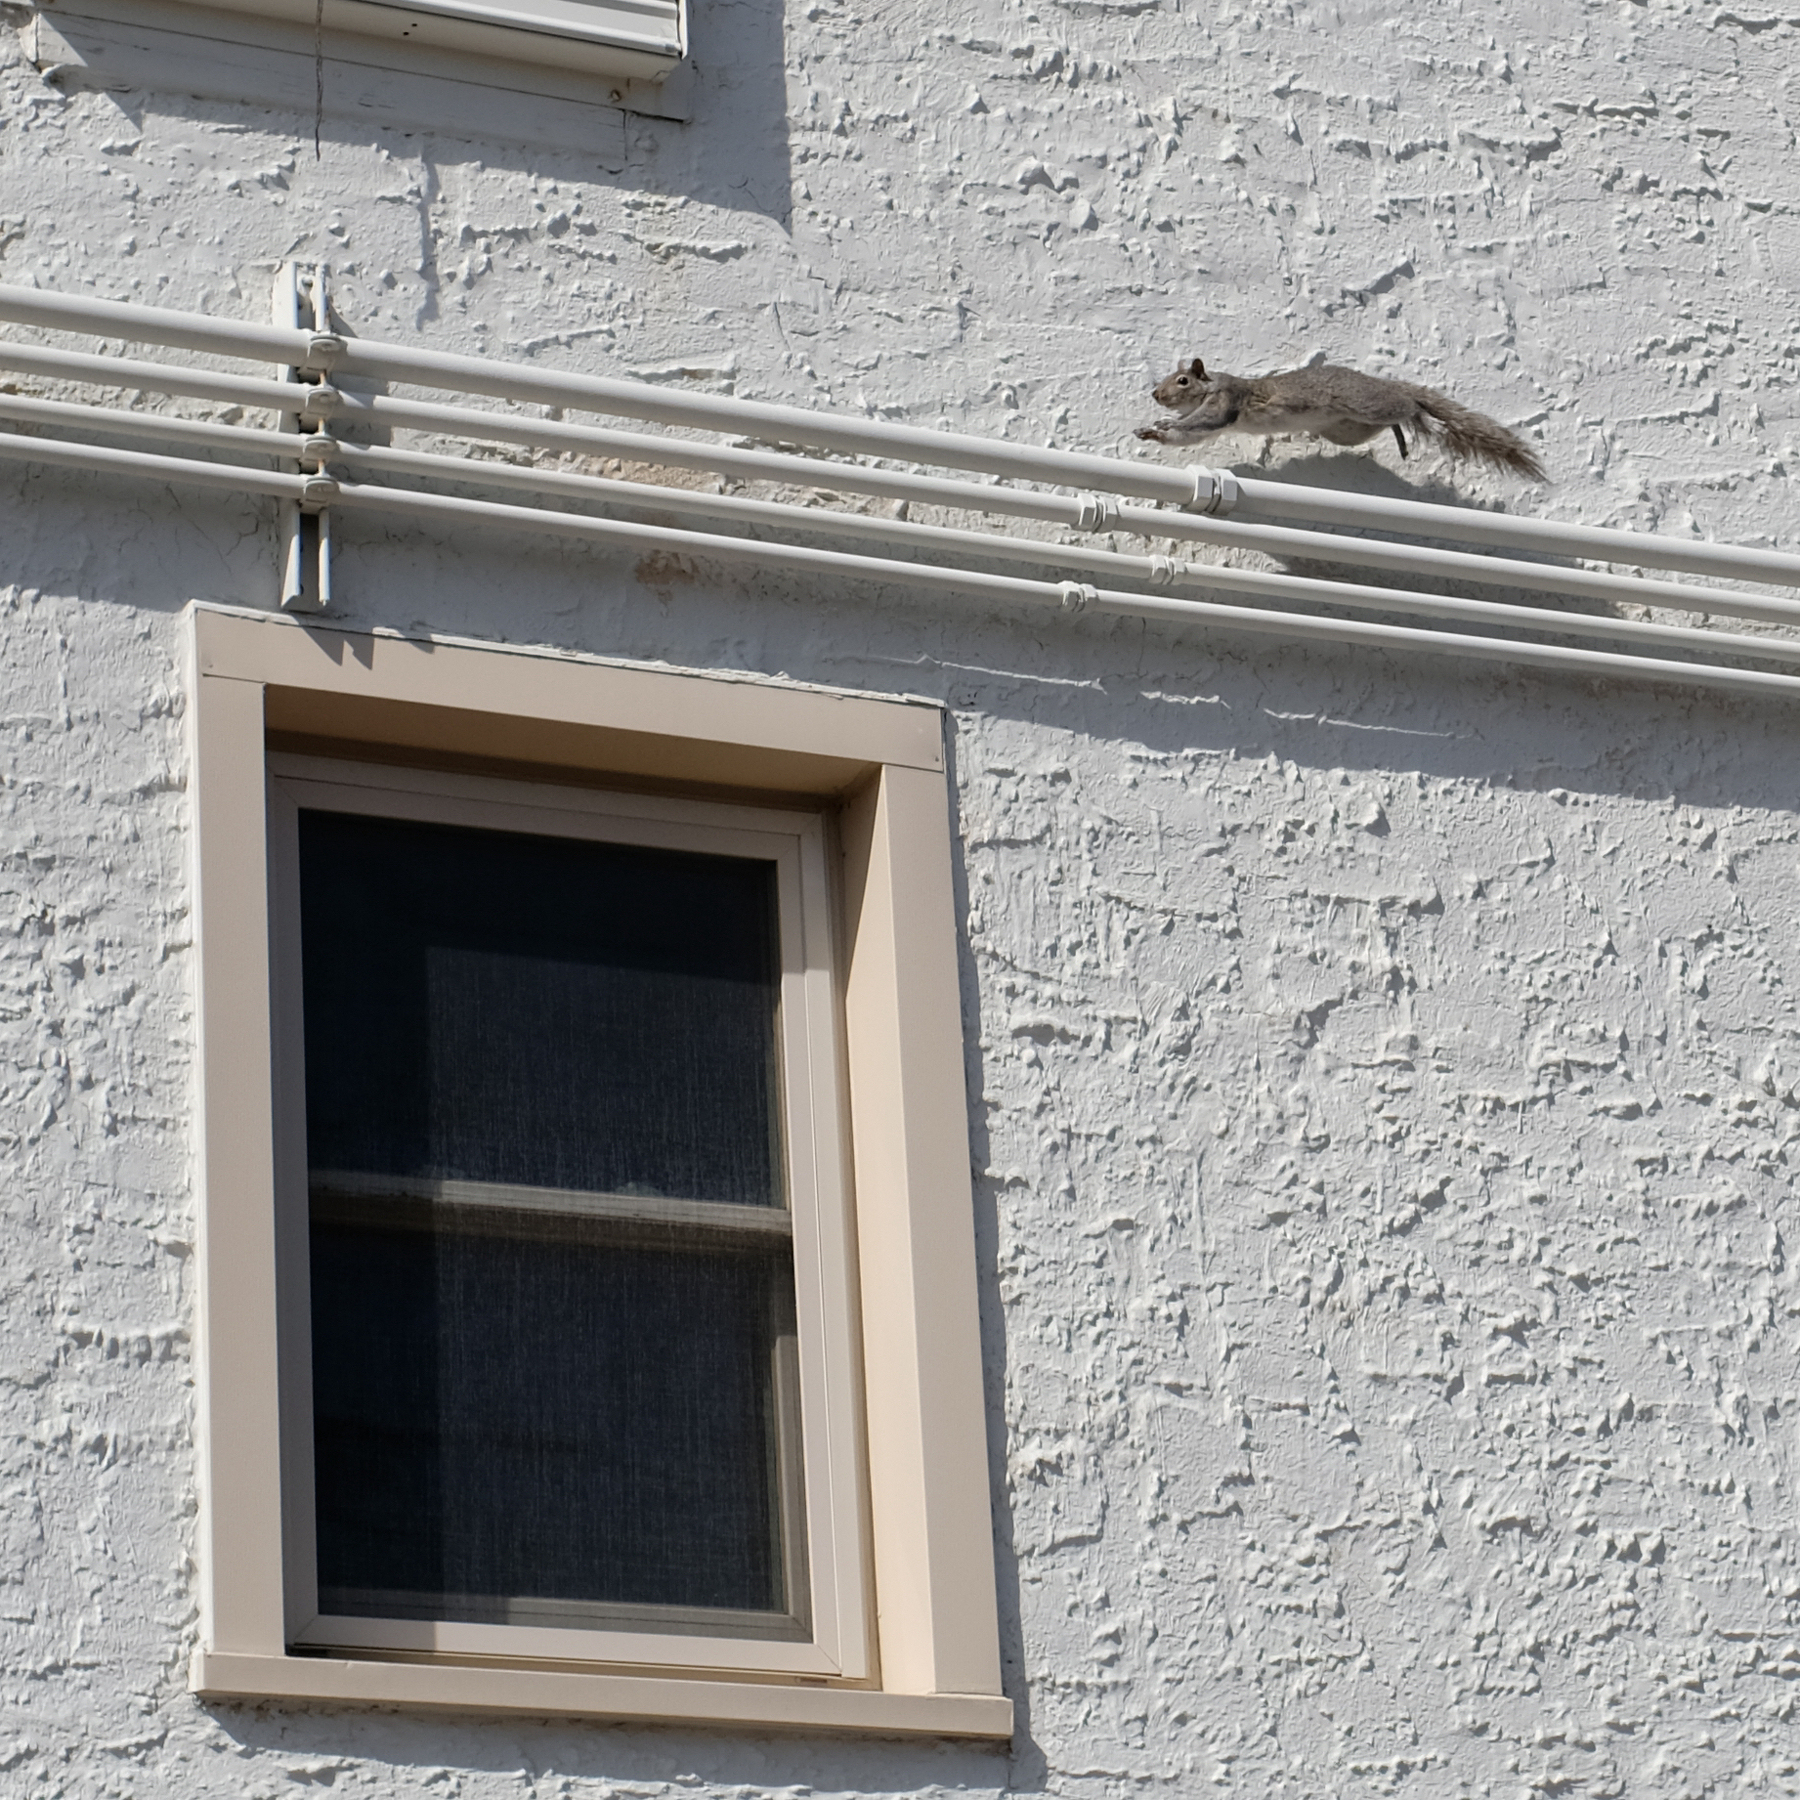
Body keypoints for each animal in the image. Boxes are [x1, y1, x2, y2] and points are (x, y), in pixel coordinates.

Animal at [1134, 357, 1546, 481]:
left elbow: (1199, 426)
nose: (1156, 395)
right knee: (1386, 425)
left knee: (1406, 406)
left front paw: (1164, 427)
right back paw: (1400, 437)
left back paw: (1418, 413)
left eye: (1183, 381)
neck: (1212, 385)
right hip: (1347, 431)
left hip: (1370, 405)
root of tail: (1384, 383)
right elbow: (1190, 435)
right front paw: (1152, 430)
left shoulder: (1226, 403)